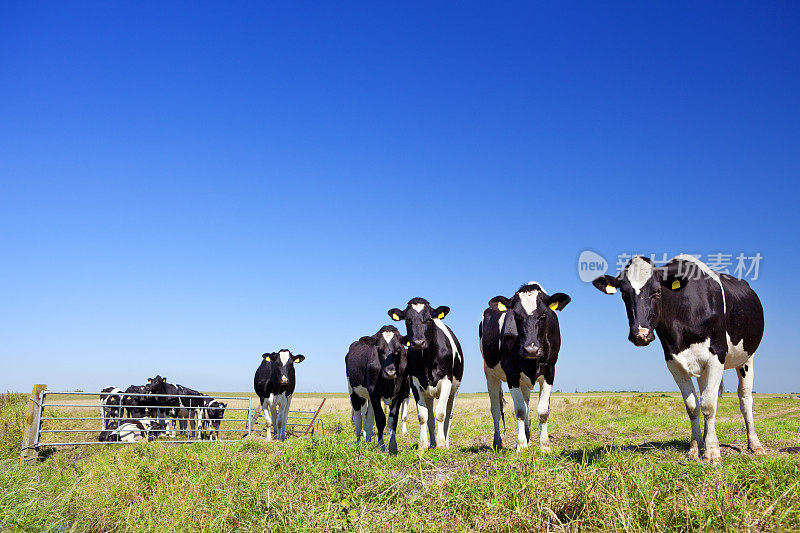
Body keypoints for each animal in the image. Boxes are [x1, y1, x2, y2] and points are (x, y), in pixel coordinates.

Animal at [346, 324, 410, 454]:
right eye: (379, 349)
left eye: (398, 349)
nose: (390, 372)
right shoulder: (374, 392)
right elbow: (380, 419)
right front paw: (381, 445)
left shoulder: (399, 394)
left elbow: (393, 420)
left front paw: (393, 447)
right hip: (353, 391)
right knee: (358, 418)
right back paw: (359, 441)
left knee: (369, 418)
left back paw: (368, 441)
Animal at [388, 298, 462, 450]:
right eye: (408, 320)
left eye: (428, 320)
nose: (418, 342)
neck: (427, 360)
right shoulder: (415, 383)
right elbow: (423, 416)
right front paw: (423, 445)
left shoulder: (446, 381)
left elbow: (441, 414)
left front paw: (441, 444)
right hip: (428, 394)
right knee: (431, 419)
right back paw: (432, 443)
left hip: (454, 391)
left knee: (449, 417)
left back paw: (445, 443)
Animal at [478, 280, 572, 450]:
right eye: (516, 315)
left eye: (544, 314)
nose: (531, 349)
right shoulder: (511, 372)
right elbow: (520, 410)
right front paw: (521, 446)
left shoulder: (550, 370)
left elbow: (542, 411)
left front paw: (544, 446)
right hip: (489, 372)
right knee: (496, 409)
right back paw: (498, 442)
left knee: (527, 404)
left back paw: (529, 440)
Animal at [592, 255, 768, 462]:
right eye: (624, 294)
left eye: (657, 291)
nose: (640, 335)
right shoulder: (673, 361)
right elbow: (693, 406)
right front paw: (696, 447)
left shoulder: (717, 354)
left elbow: (709, 404)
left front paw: (712, 452)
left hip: (746, 359)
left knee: (745, 400)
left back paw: (754, 445)